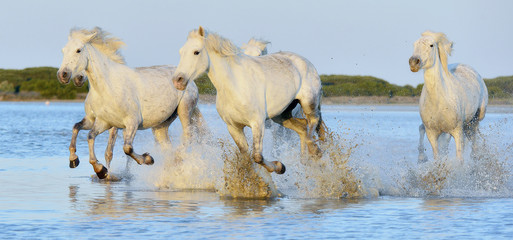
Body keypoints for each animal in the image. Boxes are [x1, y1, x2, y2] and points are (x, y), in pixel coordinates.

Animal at [59, 27, 203, 178]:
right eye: (63, 50)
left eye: (78, 50)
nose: (63, 75)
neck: (108, 87)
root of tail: (187, 78)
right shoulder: (102, 122)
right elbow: (86, 134)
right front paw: (93, 167)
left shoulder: (131, 123)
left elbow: (126, 149)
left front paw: (147, 159)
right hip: (161, 124)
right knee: (167, 147)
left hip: (184, 110)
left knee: (188, 137)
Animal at [171, 27, 324, 174]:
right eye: (180, 52)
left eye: (196, 52)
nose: (178, 80)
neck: (235, 86)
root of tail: (304, 61)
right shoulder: (234, 127)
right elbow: (246, 157)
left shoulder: (257, 123)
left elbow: (257, 156)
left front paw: (280, 167)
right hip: (281, 115)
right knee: (303, 127)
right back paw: (306, 158)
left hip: (309, 102)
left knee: (313, 121)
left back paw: (314, 151)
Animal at [408, 31, 488, 162]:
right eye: (414, 44)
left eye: (431, 45)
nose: (414, 62)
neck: (439, 101)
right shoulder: (432, 133)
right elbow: (438, 159)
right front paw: (423, 158)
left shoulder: (457, 131)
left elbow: (459, 159)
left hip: (476, 118)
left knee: (473, 137)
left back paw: (476, 156)